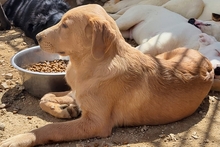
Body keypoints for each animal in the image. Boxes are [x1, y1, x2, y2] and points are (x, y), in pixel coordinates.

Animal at [0, 4, 213, 146]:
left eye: (65, 25)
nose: (37, 37)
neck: (87, 65)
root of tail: (207, 61)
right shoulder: (76, 93)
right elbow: (45, 97)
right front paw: (65, 109)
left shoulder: (96, 123)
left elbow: (51, 128)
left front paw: (21, 139)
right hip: (163, 55)